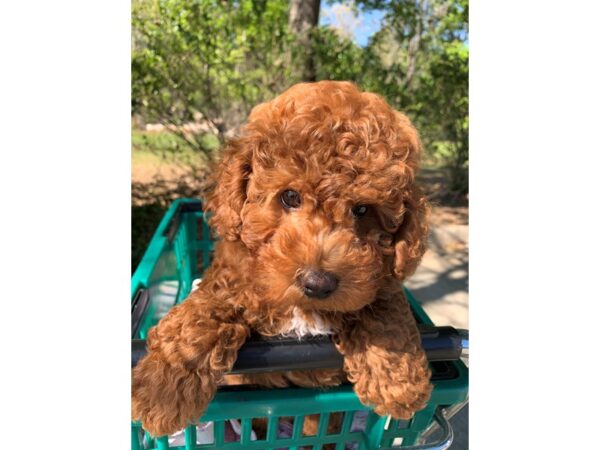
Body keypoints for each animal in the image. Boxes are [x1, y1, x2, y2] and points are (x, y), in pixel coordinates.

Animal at [132, 80, 432, 436]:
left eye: (362, 210)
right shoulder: (230, 279)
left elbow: (385, 311)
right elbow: (201, 314)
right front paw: (160, 389)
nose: (318, 283)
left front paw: (399, 383)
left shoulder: (381, 281)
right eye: (290, 196)